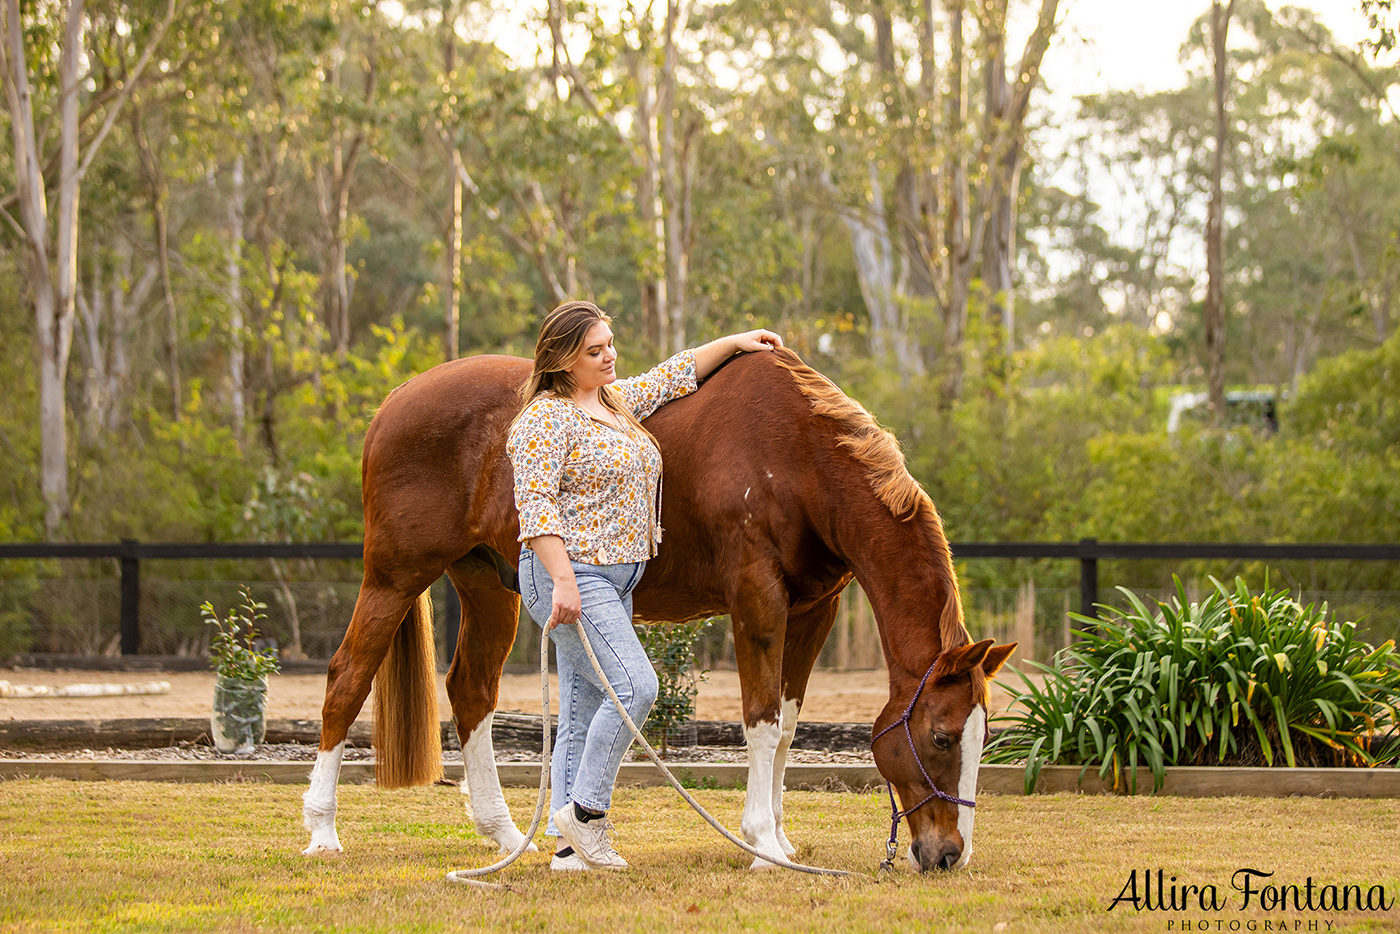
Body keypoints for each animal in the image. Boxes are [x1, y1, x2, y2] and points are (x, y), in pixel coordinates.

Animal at [298, 347, 1019, 873]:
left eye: (980, 738)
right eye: (941, 737)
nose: (949, 855)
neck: (798, 457)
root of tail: (396, 401)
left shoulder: (815, 609)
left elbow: (787, 726)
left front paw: (782, 841)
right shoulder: (756, 599)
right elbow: (760, 721)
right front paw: (761, 846)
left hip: (487, 585)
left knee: (471, 691)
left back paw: (507, 837)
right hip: (393, 577)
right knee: (347, 680)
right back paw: (324, 832)